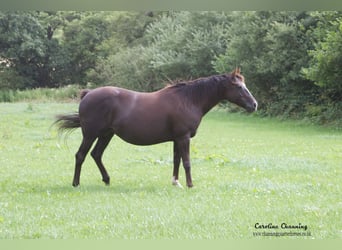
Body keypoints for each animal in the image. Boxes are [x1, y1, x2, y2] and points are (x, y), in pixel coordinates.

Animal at [54, 68, 256, 188]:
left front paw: (176, 182)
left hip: (106, 135)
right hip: (90, 134)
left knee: (96, 155)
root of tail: (88, 94)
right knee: (80, 155)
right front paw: (190, 185)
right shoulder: (183, 137)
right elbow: (187, 162)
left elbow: (176, 161)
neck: (188, 99)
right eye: (239, 86)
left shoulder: (177, 138)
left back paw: (107, 180)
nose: (254, 105)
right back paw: (76, 183)